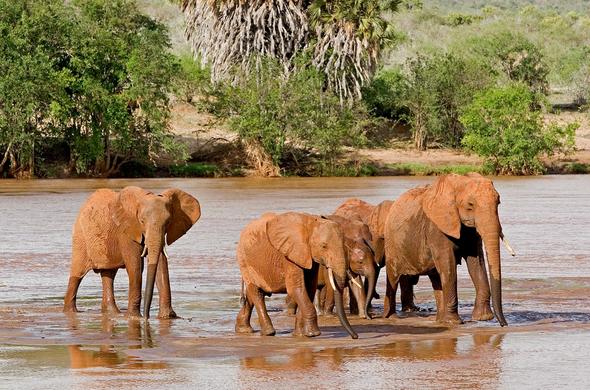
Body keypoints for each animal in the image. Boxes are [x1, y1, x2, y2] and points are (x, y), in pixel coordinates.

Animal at [62, 187, 201, 320]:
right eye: (142, 221)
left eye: (168, 222)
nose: (147, 317)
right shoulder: (126, 231)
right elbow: (135, 266)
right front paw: (135, 317)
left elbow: (161, 265)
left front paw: (168, 317)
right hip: (80, 238)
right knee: (77, 274)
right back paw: (70, 311)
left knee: (108, 274)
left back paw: (113, 314)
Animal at [386, 174, 512, 326]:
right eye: (470, 205)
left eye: (498, 202)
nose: (504, 325)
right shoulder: (436, 228)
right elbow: (448, 265)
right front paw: (455, 322)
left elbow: (476, 263)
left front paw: (482, 317)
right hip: (392, 245)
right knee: (393, 278)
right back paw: (391, 317)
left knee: (436, 277)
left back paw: (441, 321)